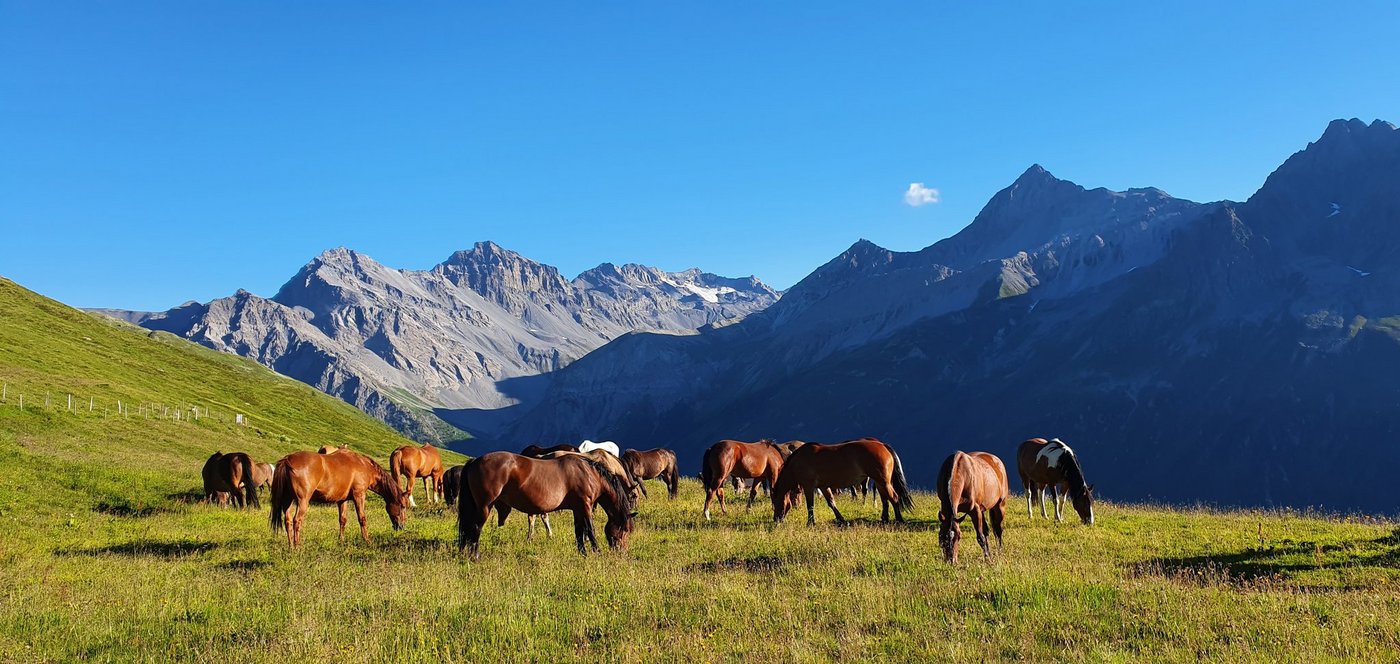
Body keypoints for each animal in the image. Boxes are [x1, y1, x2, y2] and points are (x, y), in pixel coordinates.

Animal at [270, 449, 407, 547]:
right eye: (402, 506)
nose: (401, 527)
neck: (364, 466)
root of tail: (288, 460)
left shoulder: (342, 501)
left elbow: (342, 520)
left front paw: (341, 541)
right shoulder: (359, 496)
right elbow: (362, 519)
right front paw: (367, 541)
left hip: (287, 501)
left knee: (288, 521)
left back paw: (290, 546)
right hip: (302, 501)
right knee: (297, 520)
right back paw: (297, 546)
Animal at [456, 451, 637, 560]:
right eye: (625, 530)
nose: (622, 552)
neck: (589, 473)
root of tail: (475, 461)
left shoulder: (578, 509)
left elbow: (579, 532)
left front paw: (583, 553)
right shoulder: (585, 506)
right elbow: (590, 530)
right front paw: (596, 552)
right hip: (484, 507)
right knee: (475, 528)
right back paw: (475, 556)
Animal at [771, 438, 913, 525]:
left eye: (776, 503)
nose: (776, 520)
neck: (798, 461)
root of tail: (883, 445)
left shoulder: (808, 486)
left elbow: (810, 505)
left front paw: (810, 523)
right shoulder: (823, 486)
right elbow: (831, 502)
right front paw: (841, 519)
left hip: (883, 482)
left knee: (894, 498)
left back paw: (899, 519)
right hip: (880, 482)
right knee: (885, 500)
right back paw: (885, 519)